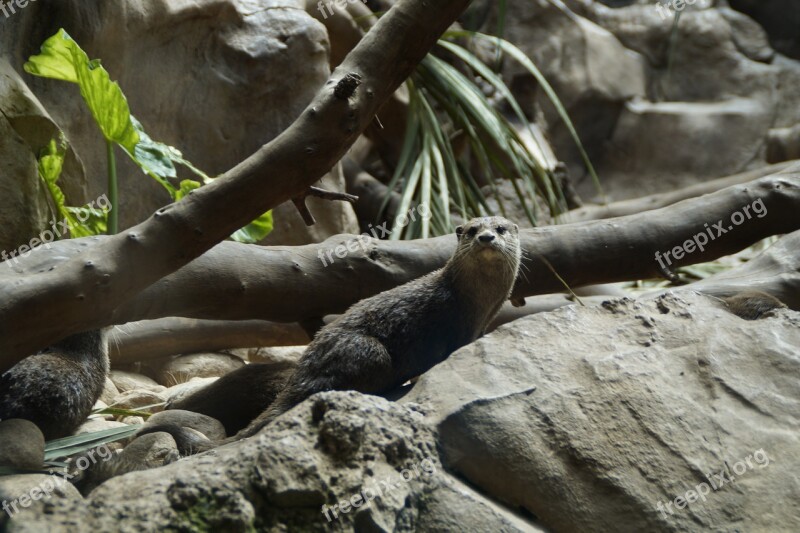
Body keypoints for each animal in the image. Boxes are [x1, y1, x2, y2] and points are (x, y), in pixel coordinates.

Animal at [152, 216, 520, 454]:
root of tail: (303, 370)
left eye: (500, 228)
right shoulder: (451, 326)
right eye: (472, 230)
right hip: (368, 351)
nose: (487, 238)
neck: (471, 300)